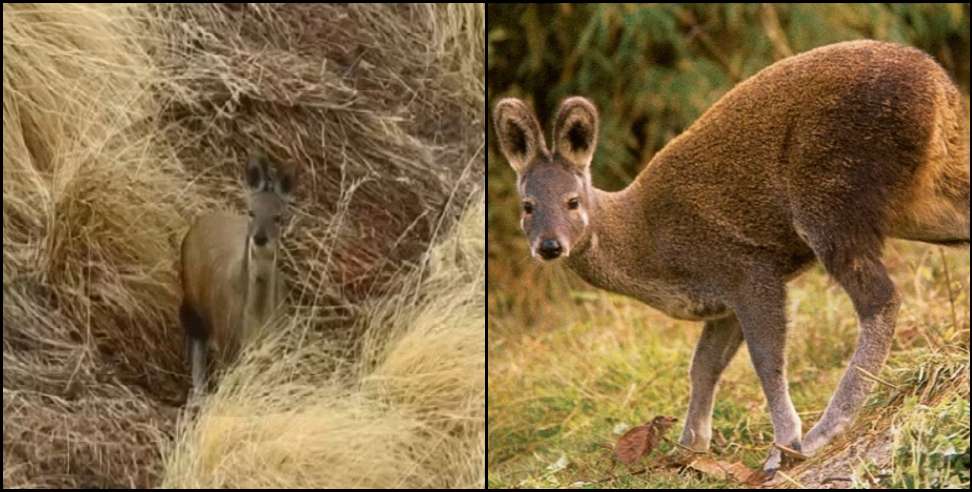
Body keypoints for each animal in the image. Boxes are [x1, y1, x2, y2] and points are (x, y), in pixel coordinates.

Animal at [498, 40, 968, 470]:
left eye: (573, 202)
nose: (549, 246)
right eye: (527, 206)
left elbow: (766, 359)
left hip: (831, 194)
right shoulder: (721, 303)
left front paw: (784, 446)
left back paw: (824, 430)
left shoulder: (747, 268)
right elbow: (703, 366)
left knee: (881, 299)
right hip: (922, 200)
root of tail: (940, 86)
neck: (646, 246)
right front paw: (688, 447)